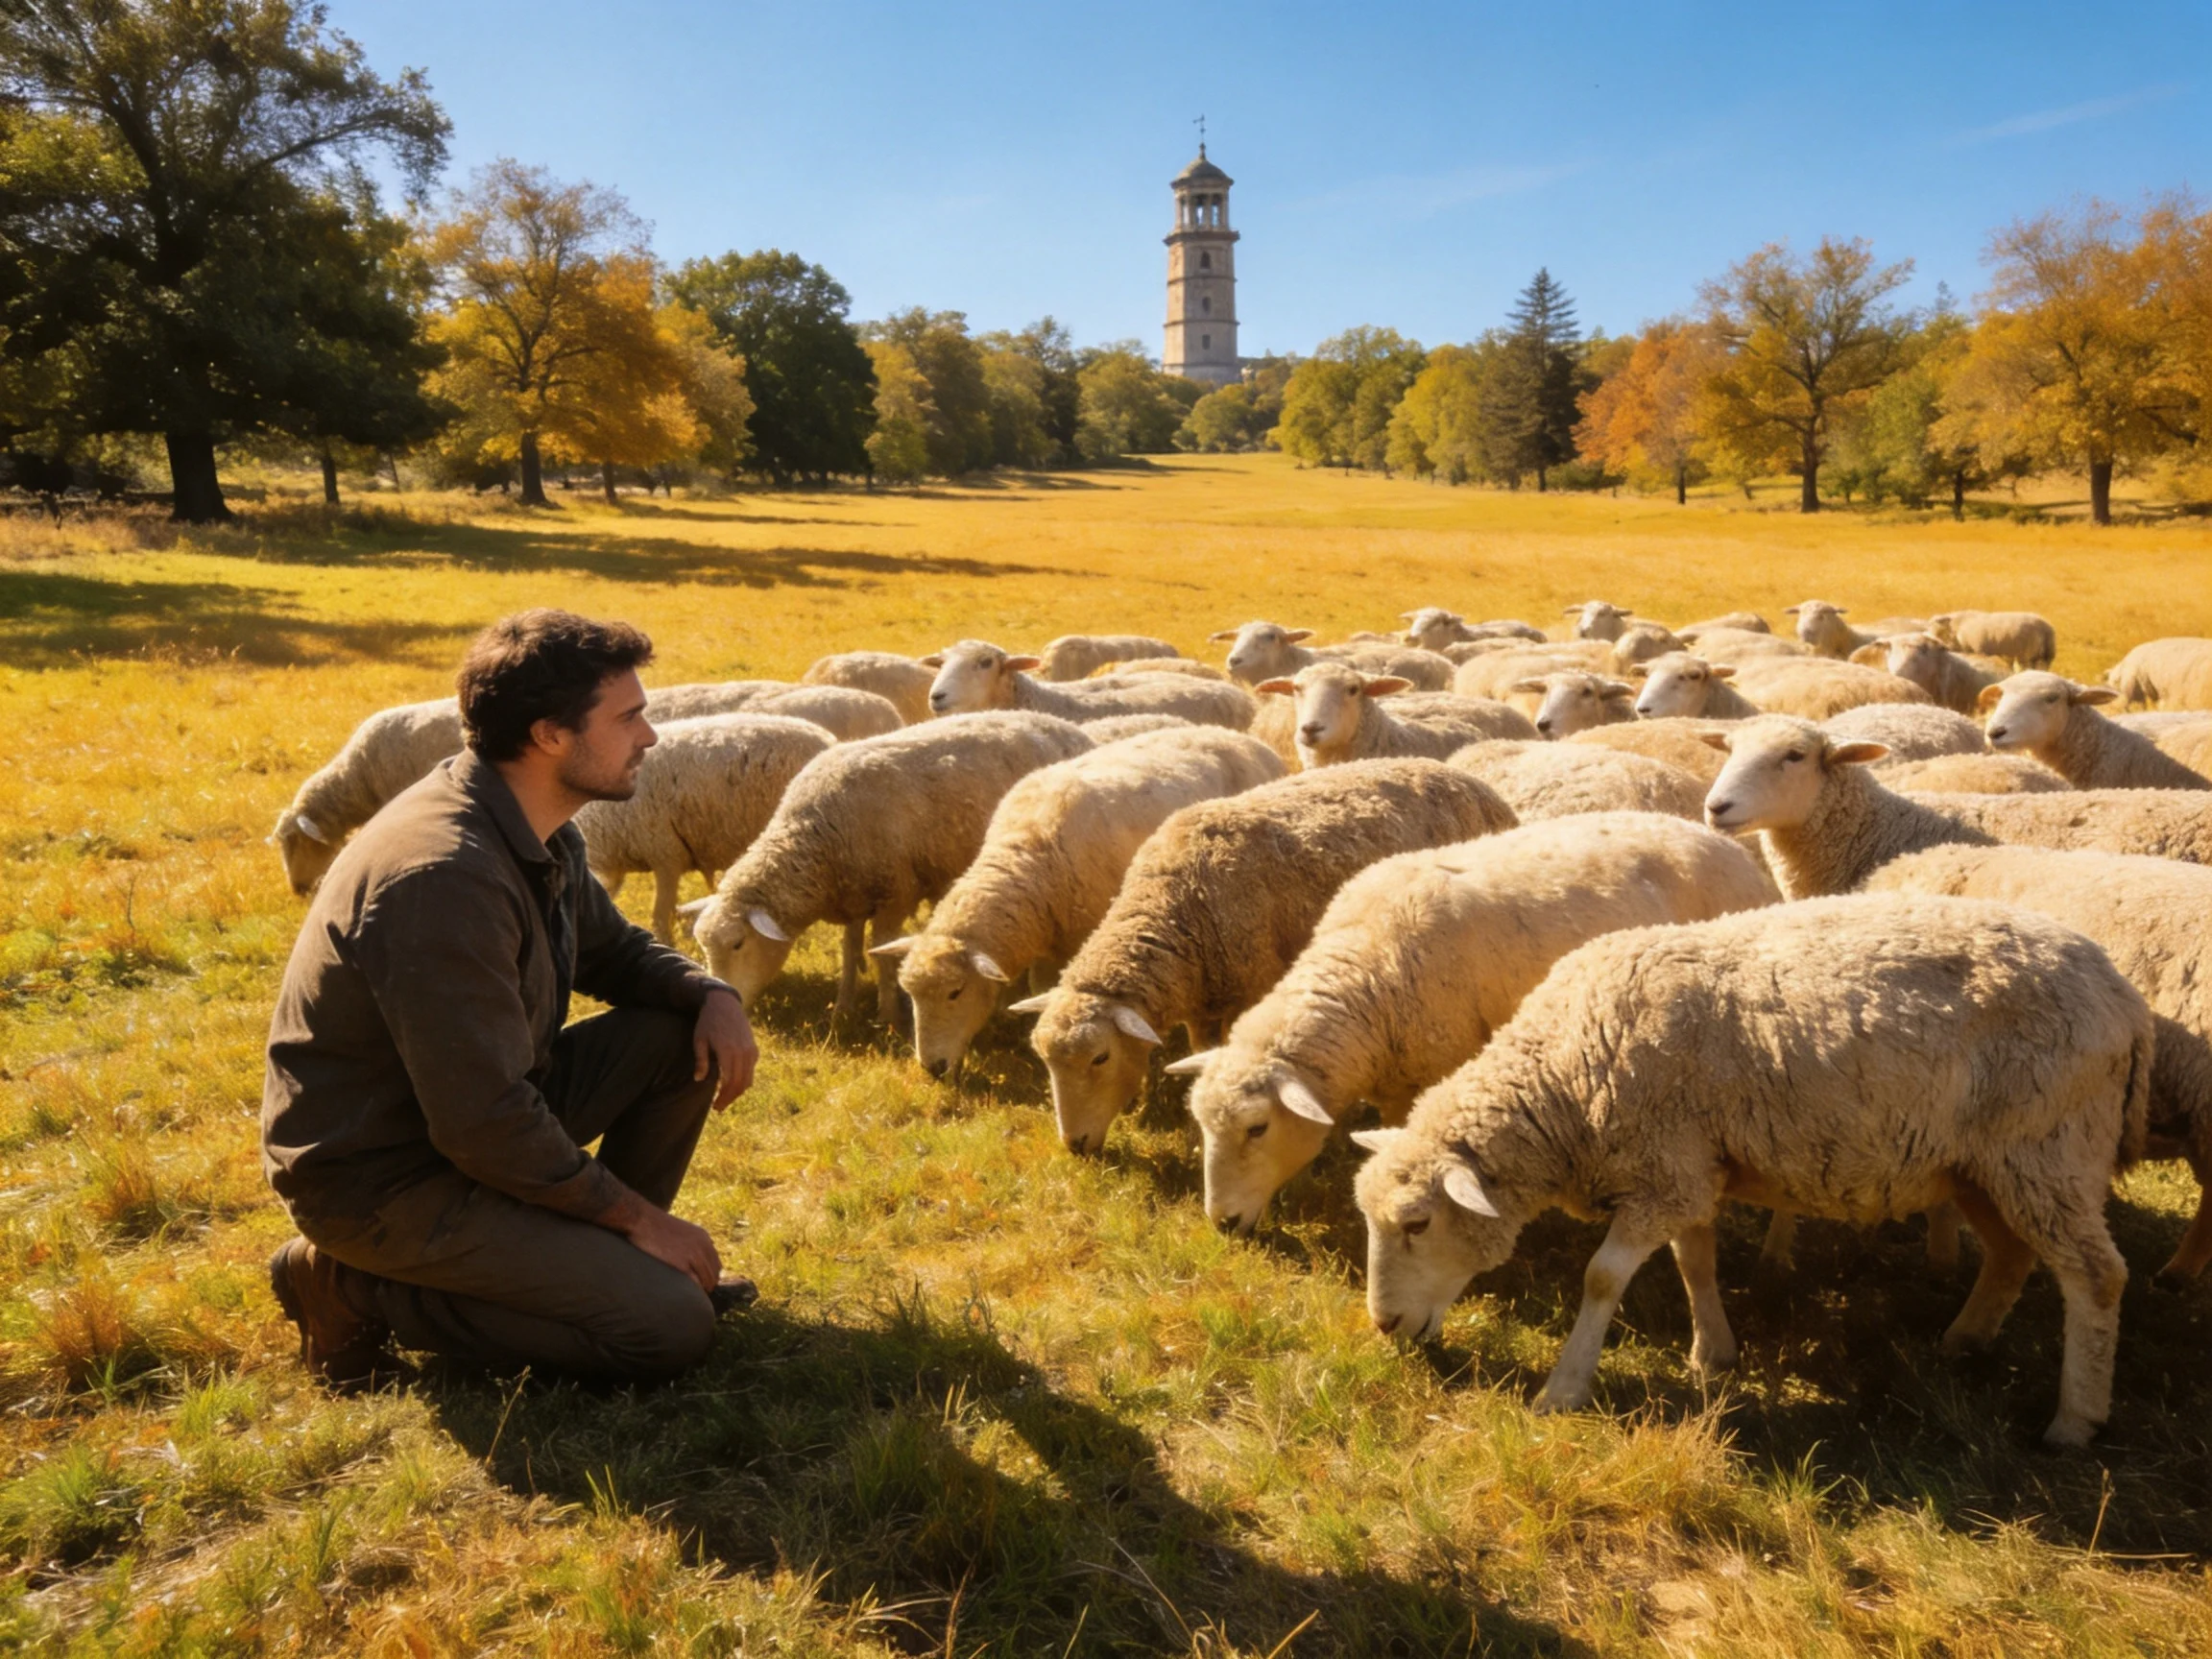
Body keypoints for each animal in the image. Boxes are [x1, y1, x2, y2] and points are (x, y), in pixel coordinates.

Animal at [680, 712, 1094, 1026]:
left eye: (738, 944)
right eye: (703, 945)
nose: (728, 999)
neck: (817, 836)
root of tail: (1069, 728)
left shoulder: (895, 896)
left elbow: (880, 952)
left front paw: (888, 1013)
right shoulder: (851, 895)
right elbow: (850, 949)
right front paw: (843, 1006)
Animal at [1013, 760, 1518, 1155]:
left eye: (1099, 1058)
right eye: (1046, 1062)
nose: (1075, 1146)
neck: (1180, 906)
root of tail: (1475, 783)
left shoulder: (1248, 992)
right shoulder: (1204, 1000)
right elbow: (1200, 1051)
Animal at [1352, 893, 2151, 1447]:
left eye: (1417, 1223)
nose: (1384, 1325)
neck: (1566, 1079)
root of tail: (2122, 993)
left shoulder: (1664, 1170)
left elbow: (1602, 1278)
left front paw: (1565, 1388)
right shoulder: (1689, 1165)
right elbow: (1694, 1261)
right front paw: (1713, 1354)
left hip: (2048, 1148)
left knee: (2097, 1276)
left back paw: (2076, 1420)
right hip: (1984, 1164)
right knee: (2014, 1254)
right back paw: (1965, 1340)